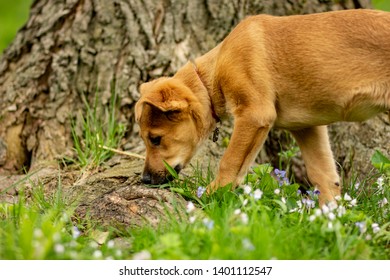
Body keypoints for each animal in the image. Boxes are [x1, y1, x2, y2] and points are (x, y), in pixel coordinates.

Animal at [136, 9, 390, 206]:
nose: (145, 180)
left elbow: (229, 162)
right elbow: (323, 176)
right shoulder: (307, 128)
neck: (212, 75)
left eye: (155, 139)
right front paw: (330, 219)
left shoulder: (254, 115)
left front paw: (210, 196)